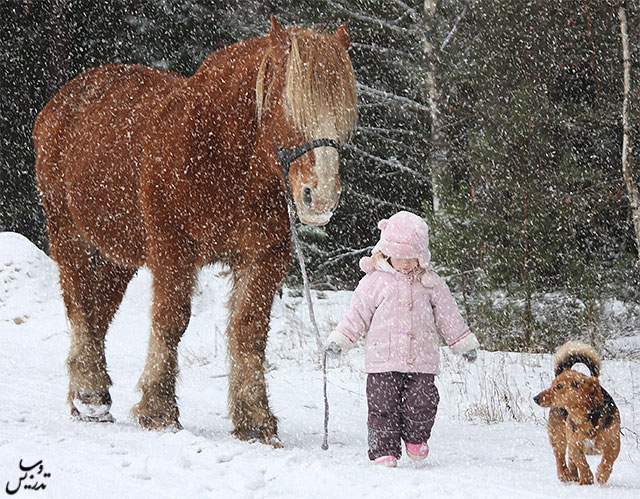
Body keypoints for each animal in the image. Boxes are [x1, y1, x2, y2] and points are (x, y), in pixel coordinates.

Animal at [33, 15, 360, 448]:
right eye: (288, 104)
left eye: (343, 112)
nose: (319, 198)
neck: (219, 153)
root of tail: (63, 102)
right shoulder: (174, 251)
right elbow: (171, 321)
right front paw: (158, 410)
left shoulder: (265, 257)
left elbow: (249, 331)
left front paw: (254, 419)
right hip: (68, 233)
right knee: (80, 307)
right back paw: (89, 392)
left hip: (119, 253)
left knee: (99, 310)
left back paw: (91, 394)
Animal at [536, 342, 620, 486]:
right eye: (552, 385)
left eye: (559, 386)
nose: (535, 398)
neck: (585, 416)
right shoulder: (574, 445)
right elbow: (582, 463)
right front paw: (587, 479)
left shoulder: (614, 442)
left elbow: (608, 459)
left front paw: (602, 475)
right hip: (558, 436)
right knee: (560, 456)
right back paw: (564, 474)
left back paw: (573, 475)